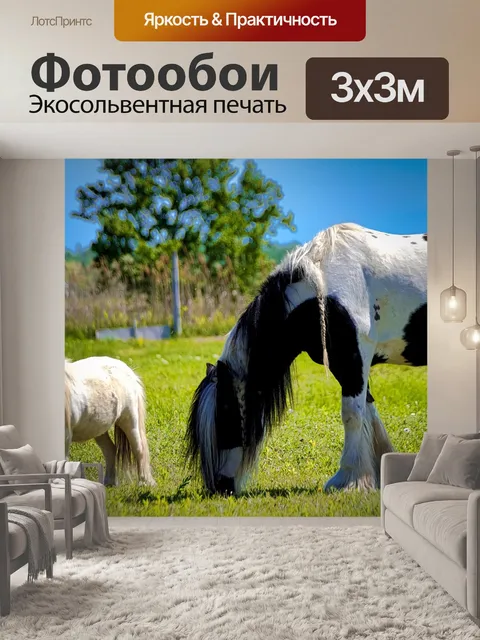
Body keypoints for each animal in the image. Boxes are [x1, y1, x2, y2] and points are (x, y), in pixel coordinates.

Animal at [65, 356, 156, 487]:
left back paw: (144, 482)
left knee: (139, 449)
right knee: (110, 450)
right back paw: (109, 483)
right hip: (98, 428)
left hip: (129, 420)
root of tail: (128, 370)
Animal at [186, 223, 427, 495]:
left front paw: (349, 480)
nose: (219, 487)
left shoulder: (353, 358)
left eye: (225, 419)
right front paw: (375, 473)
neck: (321, 286)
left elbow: (353, 415)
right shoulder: (346, 365)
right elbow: (368, 411)